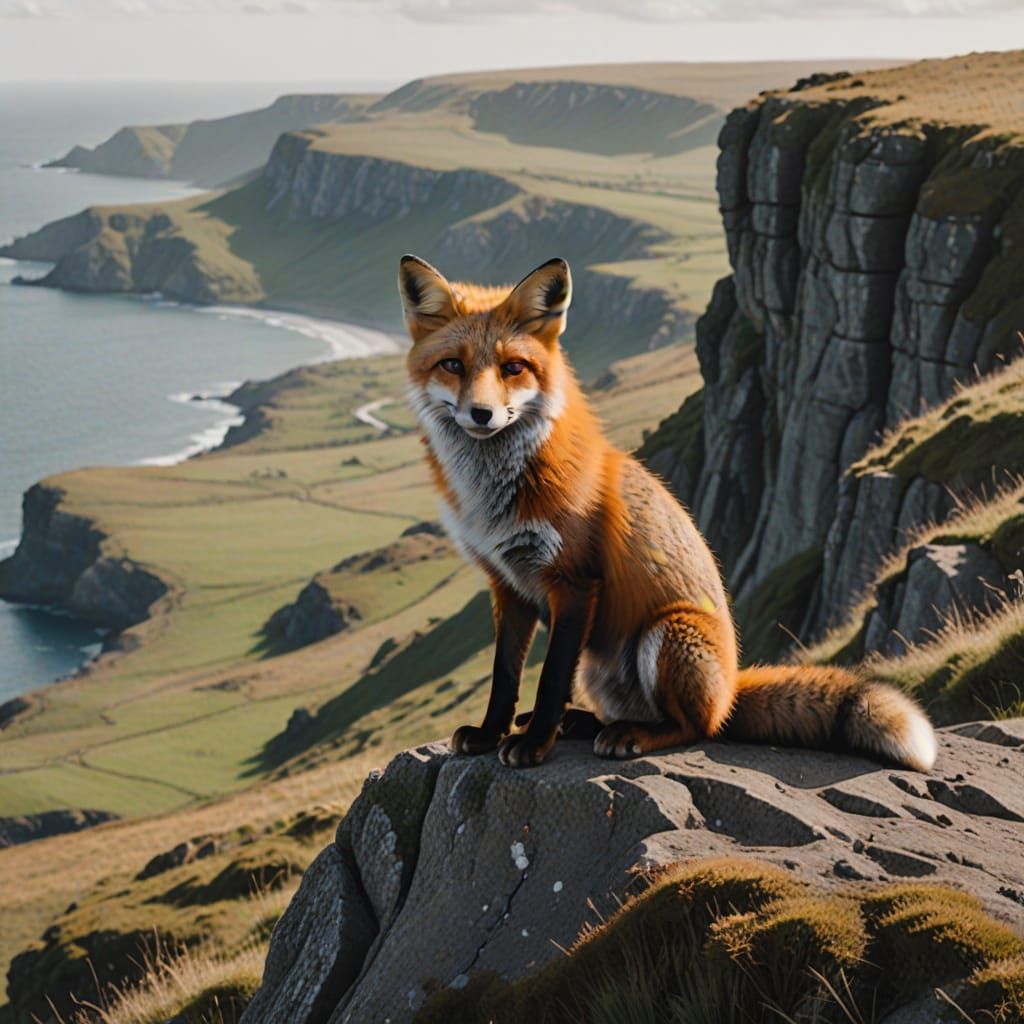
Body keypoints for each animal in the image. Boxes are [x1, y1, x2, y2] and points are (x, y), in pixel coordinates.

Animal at [399, 253, 938, 773]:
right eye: (453, 364)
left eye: (512, 368)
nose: (482, 414)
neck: (496, 497)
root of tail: (730, 692)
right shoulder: (508, 585)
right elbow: (505, 676)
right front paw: (492, 734)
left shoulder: (574, 581)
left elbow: (549, 680)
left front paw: (532, 746)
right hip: (596, 664)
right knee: (623, 712)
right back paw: (583, 723)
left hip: (667, 633)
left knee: (692, 727)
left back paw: (628, 736)